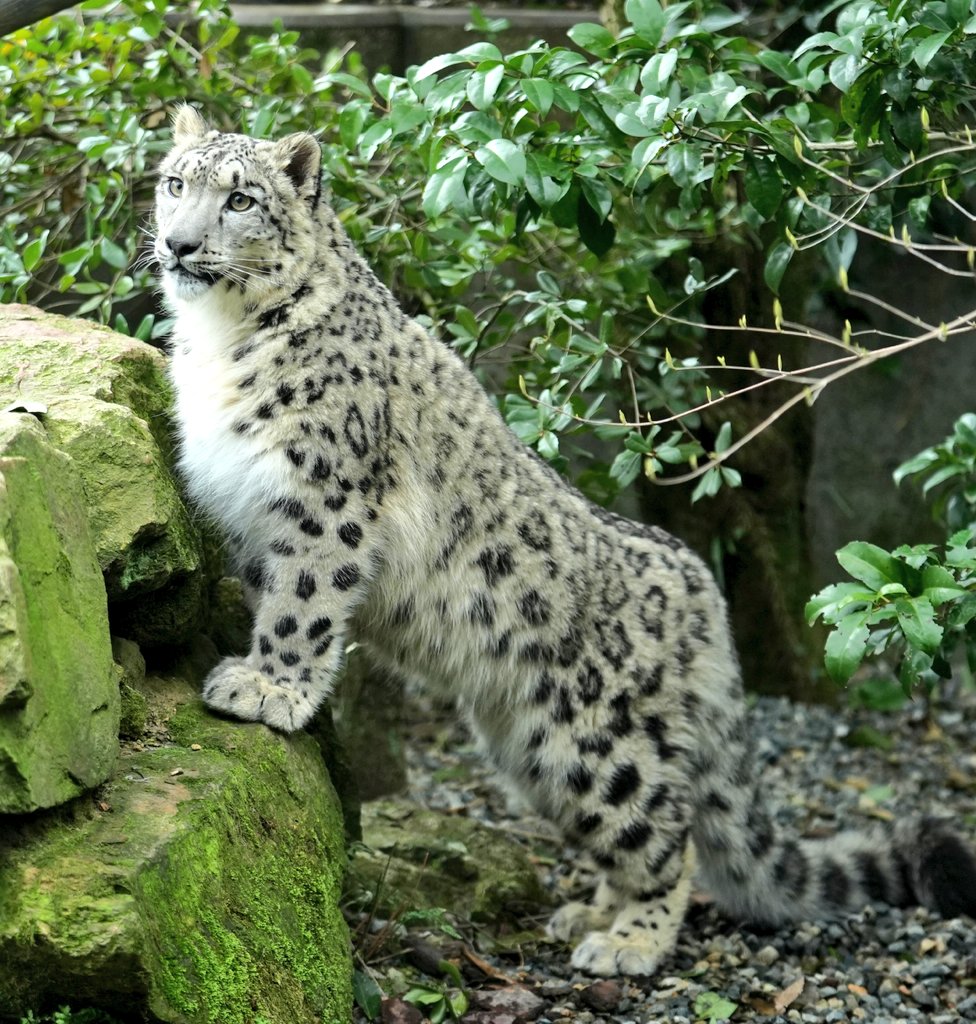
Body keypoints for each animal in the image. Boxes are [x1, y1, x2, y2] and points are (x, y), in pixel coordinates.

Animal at [152, 108, 974, 978]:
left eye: (240, 198)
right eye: (174, 184)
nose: (178, 242)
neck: (218, 339)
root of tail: (699, 589)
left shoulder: (325, 500)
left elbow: (303, 603)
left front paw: (268, 687)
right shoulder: (247, 512)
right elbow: (268, 594)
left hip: (594, 739)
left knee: (669, 833)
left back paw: (629, 942)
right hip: (531, 748)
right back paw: (591, 912)